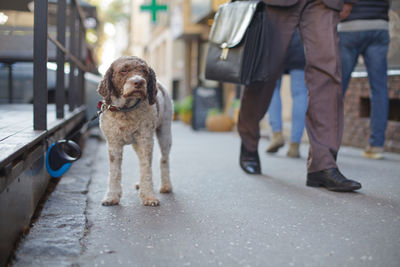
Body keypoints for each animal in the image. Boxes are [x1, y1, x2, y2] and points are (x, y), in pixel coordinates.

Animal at [97, 56, 173, 207]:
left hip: (165, 132)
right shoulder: (113, 144)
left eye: (144, 71)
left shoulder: (145, 140)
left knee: (164, 159)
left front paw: (149, 196)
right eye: (124, 70)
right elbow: (114, 171)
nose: (139, 82)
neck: (126, 109)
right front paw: (111, 196)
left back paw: (166, 185)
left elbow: (146, 168)